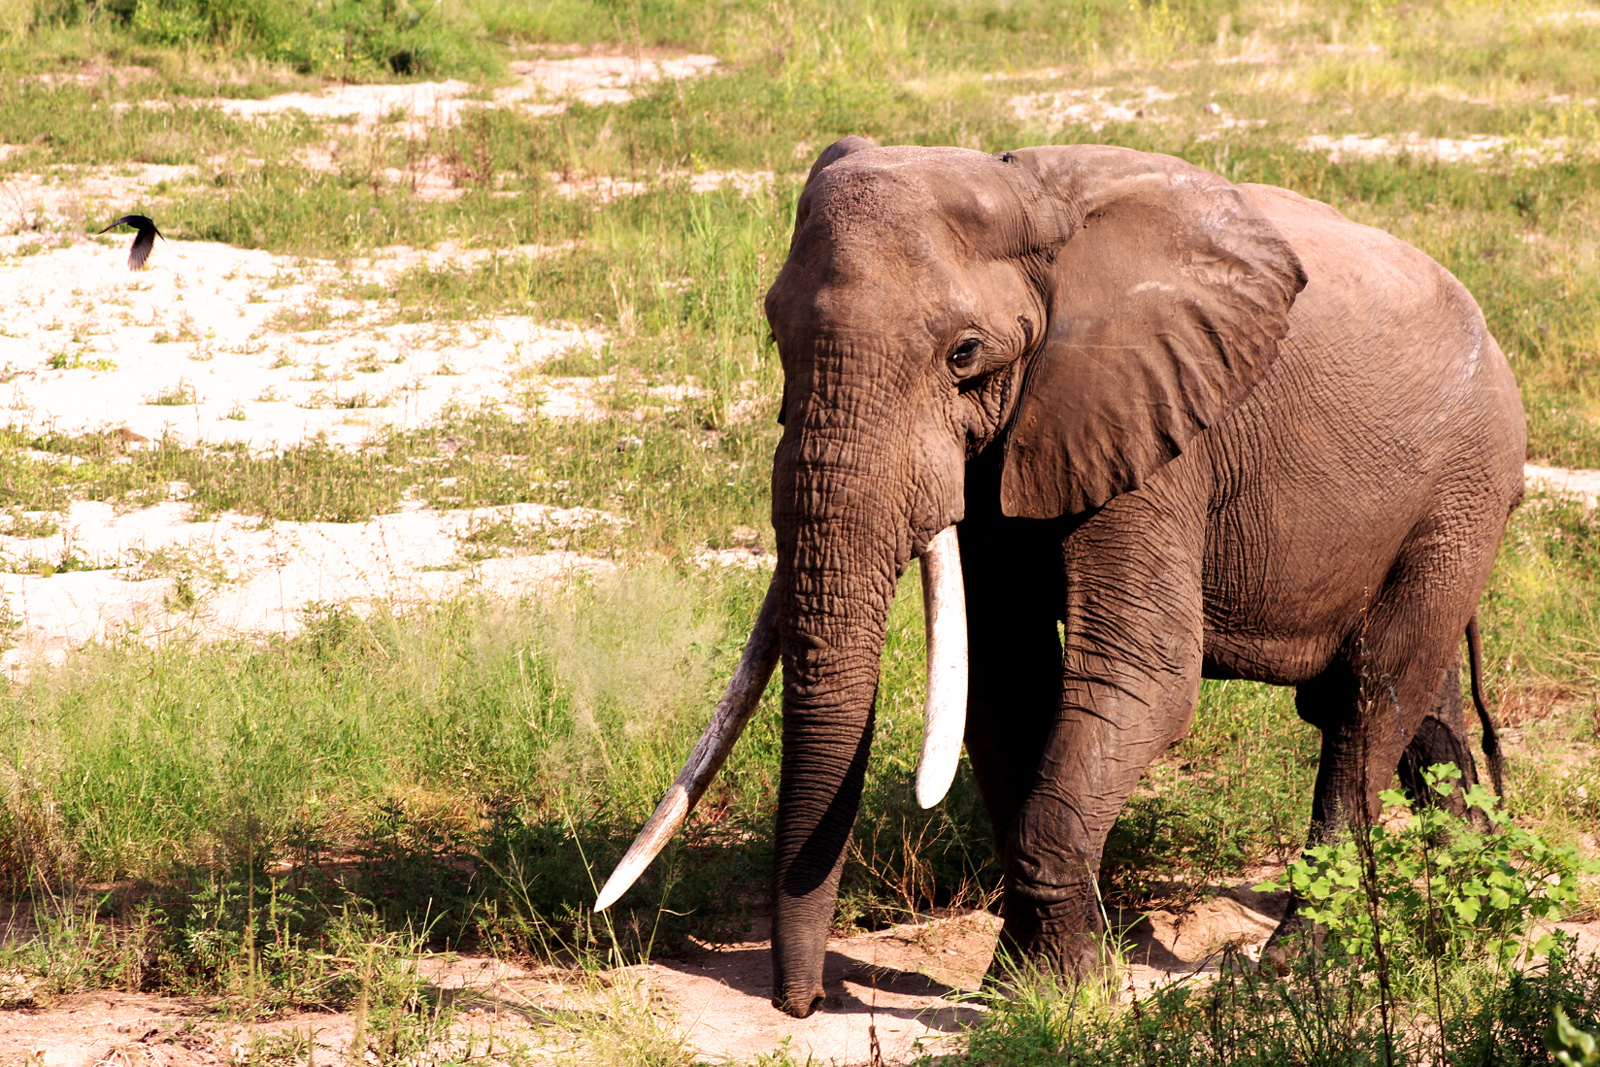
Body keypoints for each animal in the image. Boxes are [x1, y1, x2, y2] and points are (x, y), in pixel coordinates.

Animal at [592, 139, 1523, 1017]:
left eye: (965, 354)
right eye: (774, 335)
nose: (802, 1002)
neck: (1023, 191)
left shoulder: (1150, 421)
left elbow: (1143, 676)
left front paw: (1064, 990)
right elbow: (1005, 676)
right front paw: (1031, 985)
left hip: (1460, 490)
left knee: (1366, 706)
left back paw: (1299, 968)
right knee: (1410, 704)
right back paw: (1475, 919)